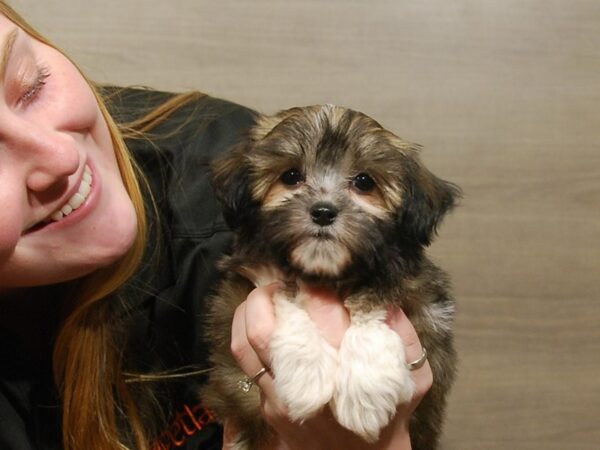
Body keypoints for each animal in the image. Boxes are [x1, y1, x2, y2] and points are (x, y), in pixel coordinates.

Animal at [202, 103, 460, 448]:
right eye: (291, 176)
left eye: (364, 182)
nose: (323, 212)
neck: (325, 273)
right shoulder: (246, 285)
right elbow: (284, 293)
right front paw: (305, 377)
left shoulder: (413, 288)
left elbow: (373, 301)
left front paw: (367, 393)